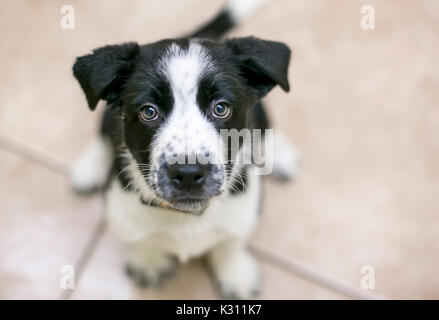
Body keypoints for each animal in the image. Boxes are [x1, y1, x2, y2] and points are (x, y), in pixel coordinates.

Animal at [71, 0, 300, 298]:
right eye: (149, 112)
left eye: (221, 108)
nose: (189, 173)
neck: (186, 216)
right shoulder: (119, 206)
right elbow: (137, 236)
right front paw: (148, 260)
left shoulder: (247, 206)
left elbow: (232, 240)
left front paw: (235, 271)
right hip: (106, 116)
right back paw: (88, 168)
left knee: (265, 127)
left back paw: (278, 155)